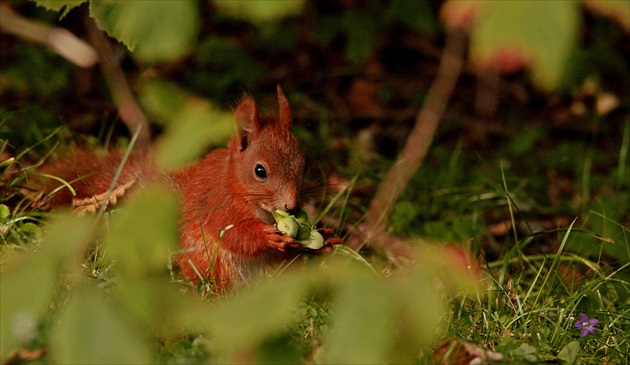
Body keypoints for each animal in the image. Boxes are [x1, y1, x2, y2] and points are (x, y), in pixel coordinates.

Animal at [29, 87, 344, 290]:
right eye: (260, 171)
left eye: (304, 165)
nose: (292, 206)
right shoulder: (219, 204)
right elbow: (235, 236)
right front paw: (268, 237)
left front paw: (325, 238)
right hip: (213, 264)